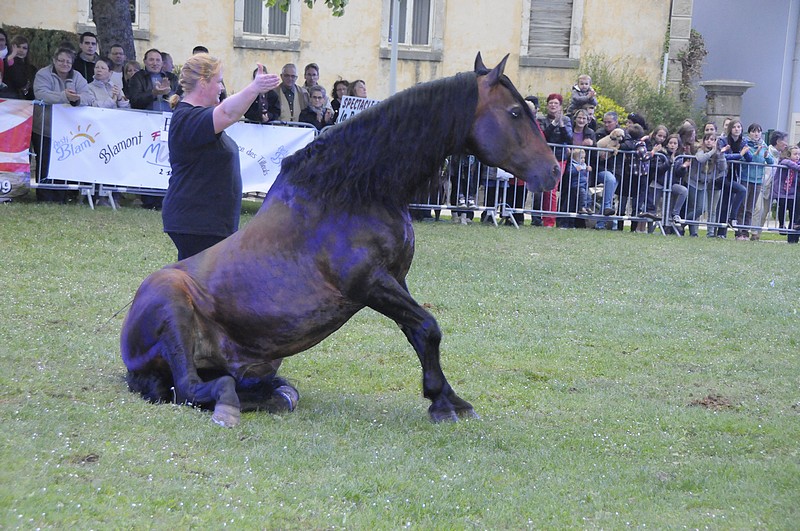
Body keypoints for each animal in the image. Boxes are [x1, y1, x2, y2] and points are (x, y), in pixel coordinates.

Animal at [120, 53, 560, 427]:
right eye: (515, 112)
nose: (554, 171)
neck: (352, 194)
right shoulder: (369, 284)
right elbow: (428, 326)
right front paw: (443, 402)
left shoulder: (395, 279)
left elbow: (418, 332)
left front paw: (448, 398)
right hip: (174, 306)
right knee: (191, 387)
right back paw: (230, 404)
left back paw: (269, 395)